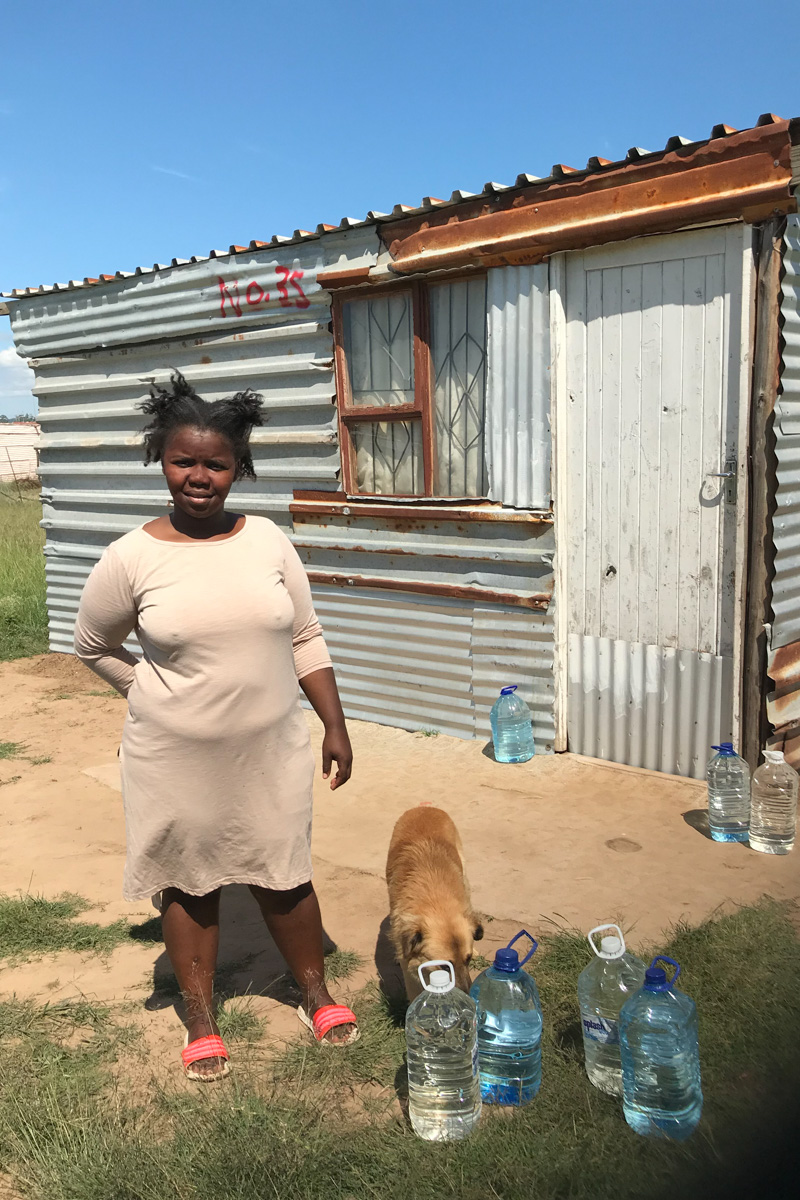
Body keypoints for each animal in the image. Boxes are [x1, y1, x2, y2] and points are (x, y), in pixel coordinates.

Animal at [386, 811, 484, 998]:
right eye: (445, 966)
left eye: (467, 959)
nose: (467, 994)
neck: (435, 902)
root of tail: (424, 808)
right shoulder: (409, 968)